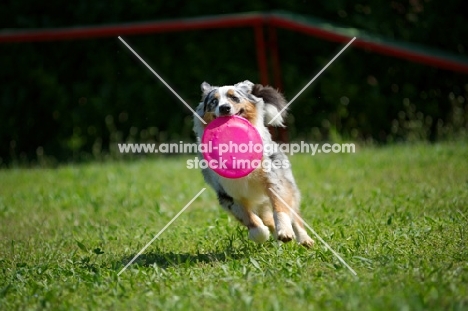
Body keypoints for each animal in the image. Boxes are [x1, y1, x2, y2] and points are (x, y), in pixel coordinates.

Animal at [194, 81, 314, 249]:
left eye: (234, 97)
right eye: (214, 101)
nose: (224, 108)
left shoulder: (273, 180)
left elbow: (280, 208)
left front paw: (284, 231)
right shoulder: (228, 195)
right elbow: (253, 222)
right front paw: (262, 235)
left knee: (295, 215)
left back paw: (304, 239)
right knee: (266, 218)